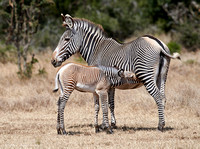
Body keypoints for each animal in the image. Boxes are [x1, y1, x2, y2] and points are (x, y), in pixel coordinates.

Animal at [51, 13, 180, 130]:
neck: (96, 49)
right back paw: (162, 123)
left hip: (146, 75)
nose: (53, 61)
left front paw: (105, 125)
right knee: (163, 97)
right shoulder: (110, 83)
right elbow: (110, 104)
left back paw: (160, 125)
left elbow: (106, 104)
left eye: (66, 39)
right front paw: (111, 123)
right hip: (162, 77)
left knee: (158, 97)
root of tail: (159, 44)